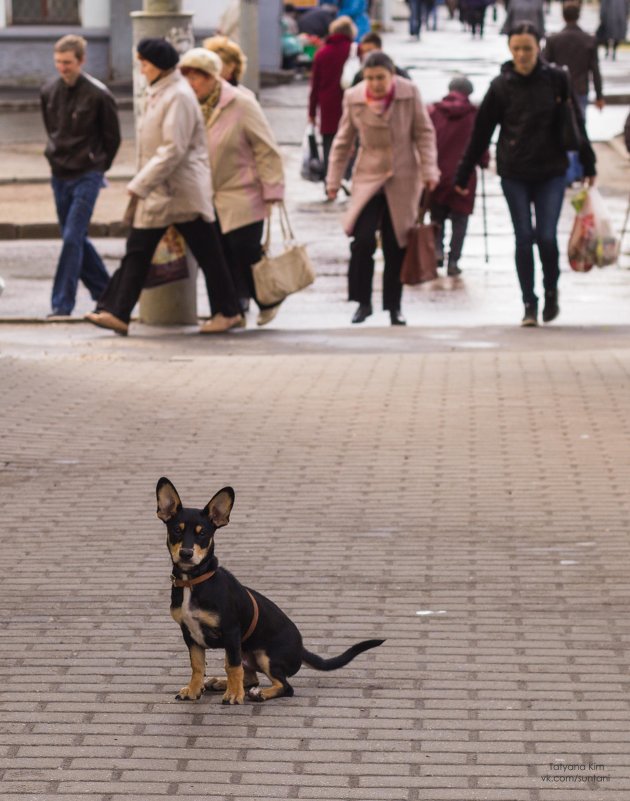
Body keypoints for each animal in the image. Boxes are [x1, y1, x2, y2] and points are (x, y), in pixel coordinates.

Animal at [158, 478, 386, 704]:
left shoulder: (231, 632)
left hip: (264, 656)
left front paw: (234, 695)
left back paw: (259, 693)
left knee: (284, 686)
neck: (193, 581)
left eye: (203, 533)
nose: (186, 553)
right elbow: (197, 665)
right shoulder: (190, 634)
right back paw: (220, 682)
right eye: (176, 530)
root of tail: (301, 649)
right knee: (250, 676)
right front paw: (194, 690)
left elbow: (233, 667)